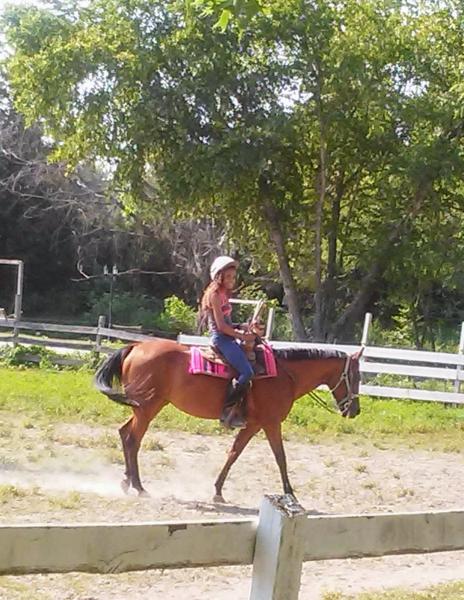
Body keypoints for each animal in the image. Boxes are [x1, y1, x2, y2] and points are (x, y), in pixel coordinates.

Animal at [94, 340, 362, 500]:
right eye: (356, 375)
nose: (355, 410)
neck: (285, 374)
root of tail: (136, 345)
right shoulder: (270, 423)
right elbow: (280, 457)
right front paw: (290, 494)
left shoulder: (253, 425)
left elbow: (234, 453)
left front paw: (217, 490)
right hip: (148, 407)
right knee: (133, 440)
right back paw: (138, 486)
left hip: (144, 408)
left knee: (124, 434)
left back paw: (127, 481)